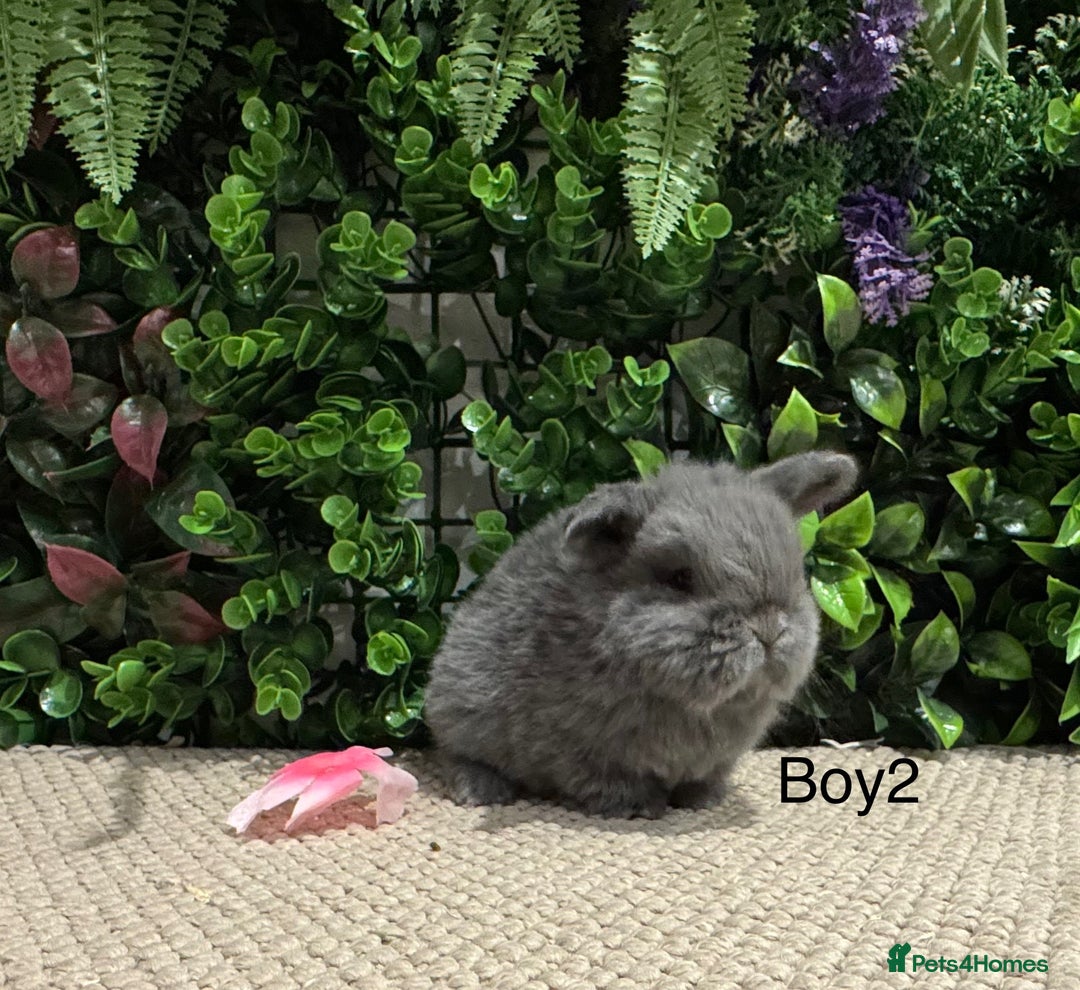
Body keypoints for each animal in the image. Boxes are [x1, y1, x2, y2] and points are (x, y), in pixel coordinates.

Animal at [423, 450, 859, 819]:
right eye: (679, 579)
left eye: (795, 571)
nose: (768, 629)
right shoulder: (577, 749)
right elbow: (604, 782)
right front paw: (638, 807)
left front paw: (704, 800)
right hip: (464, 706)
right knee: (456, 753)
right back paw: (482, 791)